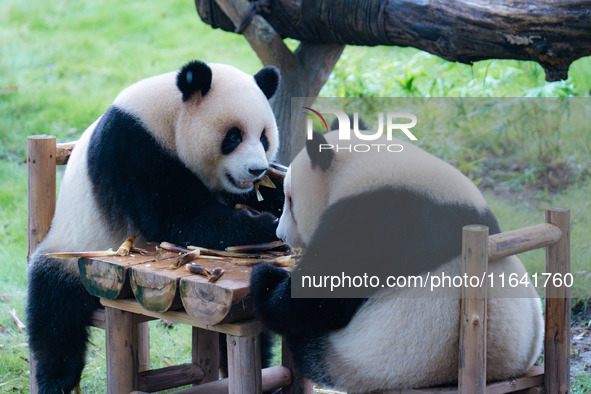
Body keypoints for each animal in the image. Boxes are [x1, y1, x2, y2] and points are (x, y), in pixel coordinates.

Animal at [27, 60, 284, 392]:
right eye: (233, 137)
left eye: (264, 137)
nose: (257, 170)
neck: (167, 117)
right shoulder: (133, 149)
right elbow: (175, 217)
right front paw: (264, 226)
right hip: (72, 251)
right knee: (54, 312)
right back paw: (55, 378)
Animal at [247, 132, 544, 390]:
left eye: (290, 200)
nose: (280, 234)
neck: (361, 166)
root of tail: (501, 371)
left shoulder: (380, 220)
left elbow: (323, 293)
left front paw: (267, 280)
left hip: (375, 360)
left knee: (311, 347)